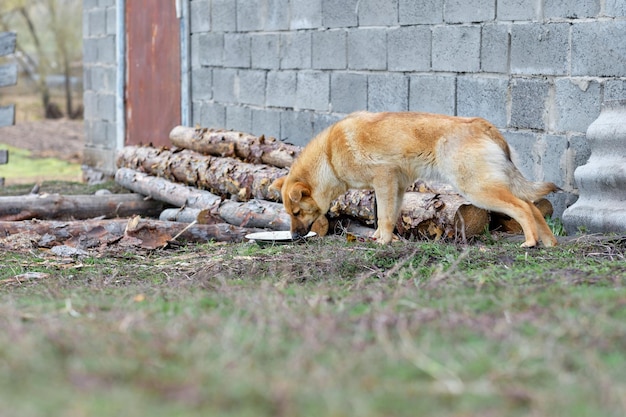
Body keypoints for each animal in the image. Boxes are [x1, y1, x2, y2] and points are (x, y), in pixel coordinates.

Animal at [268, 111, 556, 247]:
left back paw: (531, 242)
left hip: (478, 190)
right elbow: (387, 216)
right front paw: (383, 238)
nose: (293, 237)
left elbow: (384, 217)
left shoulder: (384, 180)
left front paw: (383, 242)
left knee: (522, 208)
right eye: (289, 213)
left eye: (296, 212)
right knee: (532, 208)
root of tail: (479, 124)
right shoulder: (396, 187)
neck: (329, 155)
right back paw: (549, 242)